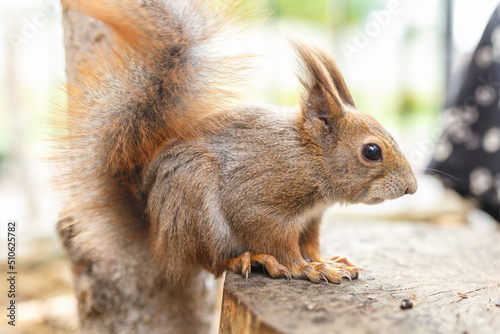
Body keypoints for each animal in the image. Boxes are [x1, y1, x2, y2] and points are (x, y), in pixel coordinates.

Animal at [53, 0, 418, 288]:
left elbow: (310, 242)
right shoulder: (263, 199)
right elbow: (277, 239)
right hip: (194, 193)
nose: (411, 188)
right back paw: (250, 259)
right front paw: (309, 268)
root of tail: (156, 228)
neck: (308, 158)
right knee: (211, 261)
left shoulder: (311, 218)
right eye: (372, 151)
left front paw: (326, 259)